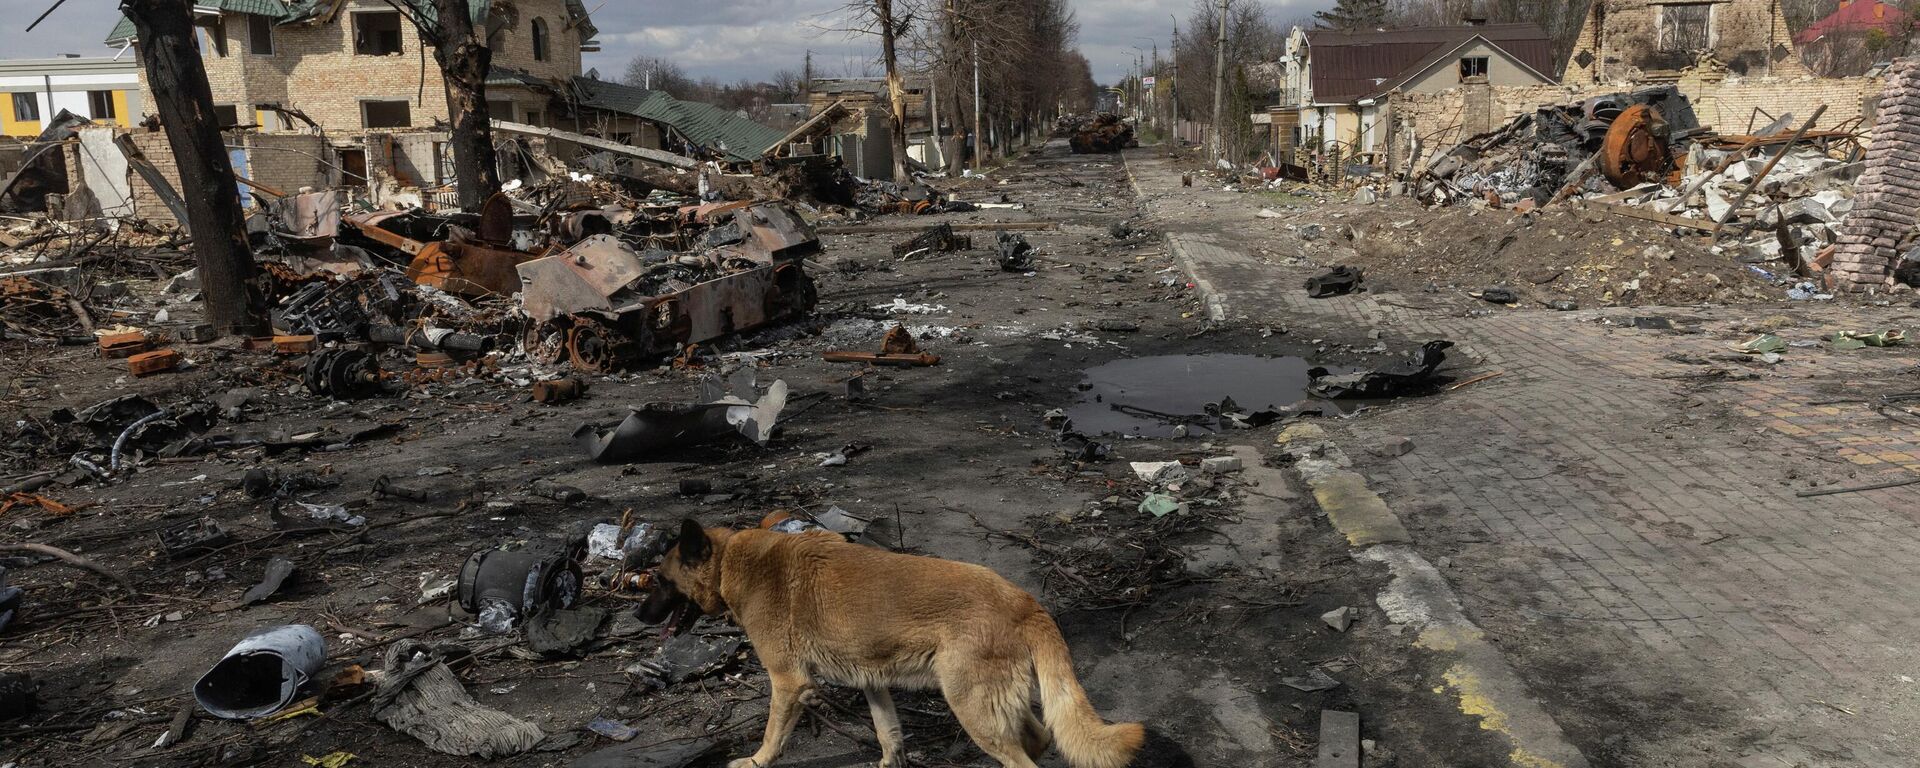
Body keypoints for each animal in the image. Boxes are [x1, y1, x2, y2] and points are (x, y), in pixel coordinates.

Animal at [637, 518, 1144, 764]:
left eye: (659, 580)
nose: (637, 615)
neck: (731, 563)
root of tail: (1022, 599)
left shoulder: (788, 683)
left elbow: (772, 736)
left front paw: (756, 760)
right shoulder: (872, 680)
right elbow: (888, 733)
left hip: (971, 706)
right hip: (992, 703)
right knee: (1038, 738)